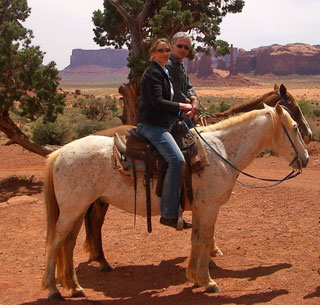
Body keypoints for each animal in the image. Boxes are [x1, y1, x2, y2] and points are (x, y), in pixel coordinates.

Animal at [41, 103, 308, 298]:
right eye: (295, 127)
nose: (305, 159)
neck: (221, 150)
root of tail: (60, 153)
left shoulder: (200, 208)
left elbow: (197, 239)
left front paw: (195, 277)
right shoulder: (209, 207)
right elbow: (205, 240)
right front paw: (208, 281)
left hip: (78, 209)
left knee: (68, 244)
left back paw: (75, 287)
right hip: (72, 210)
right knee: (55, 242)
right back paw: (53, 289)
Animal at [81, 83, 312, 270]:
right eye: (294, 107)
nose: (309, 135)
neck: (220, 146)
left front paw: (210, 253)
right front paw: (211, 254)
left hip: (99, 199)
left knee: (93, 222)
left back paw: (97, 257)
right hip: (100, 200)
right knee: (95, 223)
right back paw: (102, 261)